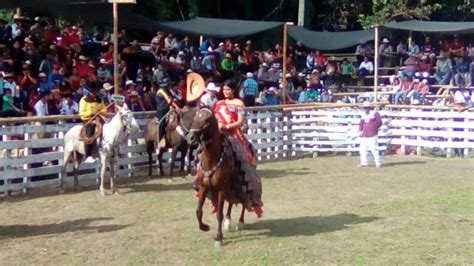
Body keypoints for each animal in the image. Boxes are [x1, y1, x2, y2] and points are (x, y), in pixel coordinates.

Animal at [185, 107, 246, 246]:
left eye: (207, 120)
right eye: (195, 117)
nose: (190, 137)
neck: (212, 160)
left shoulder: (221, 190)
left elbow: (219, 214)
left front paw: (219, 237)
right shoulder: (204, 188)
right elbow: (198, 211)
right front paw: (205, 227)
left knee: (244, 201)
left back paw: (240, 222)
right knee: (231, 202)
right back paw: (228, 221)